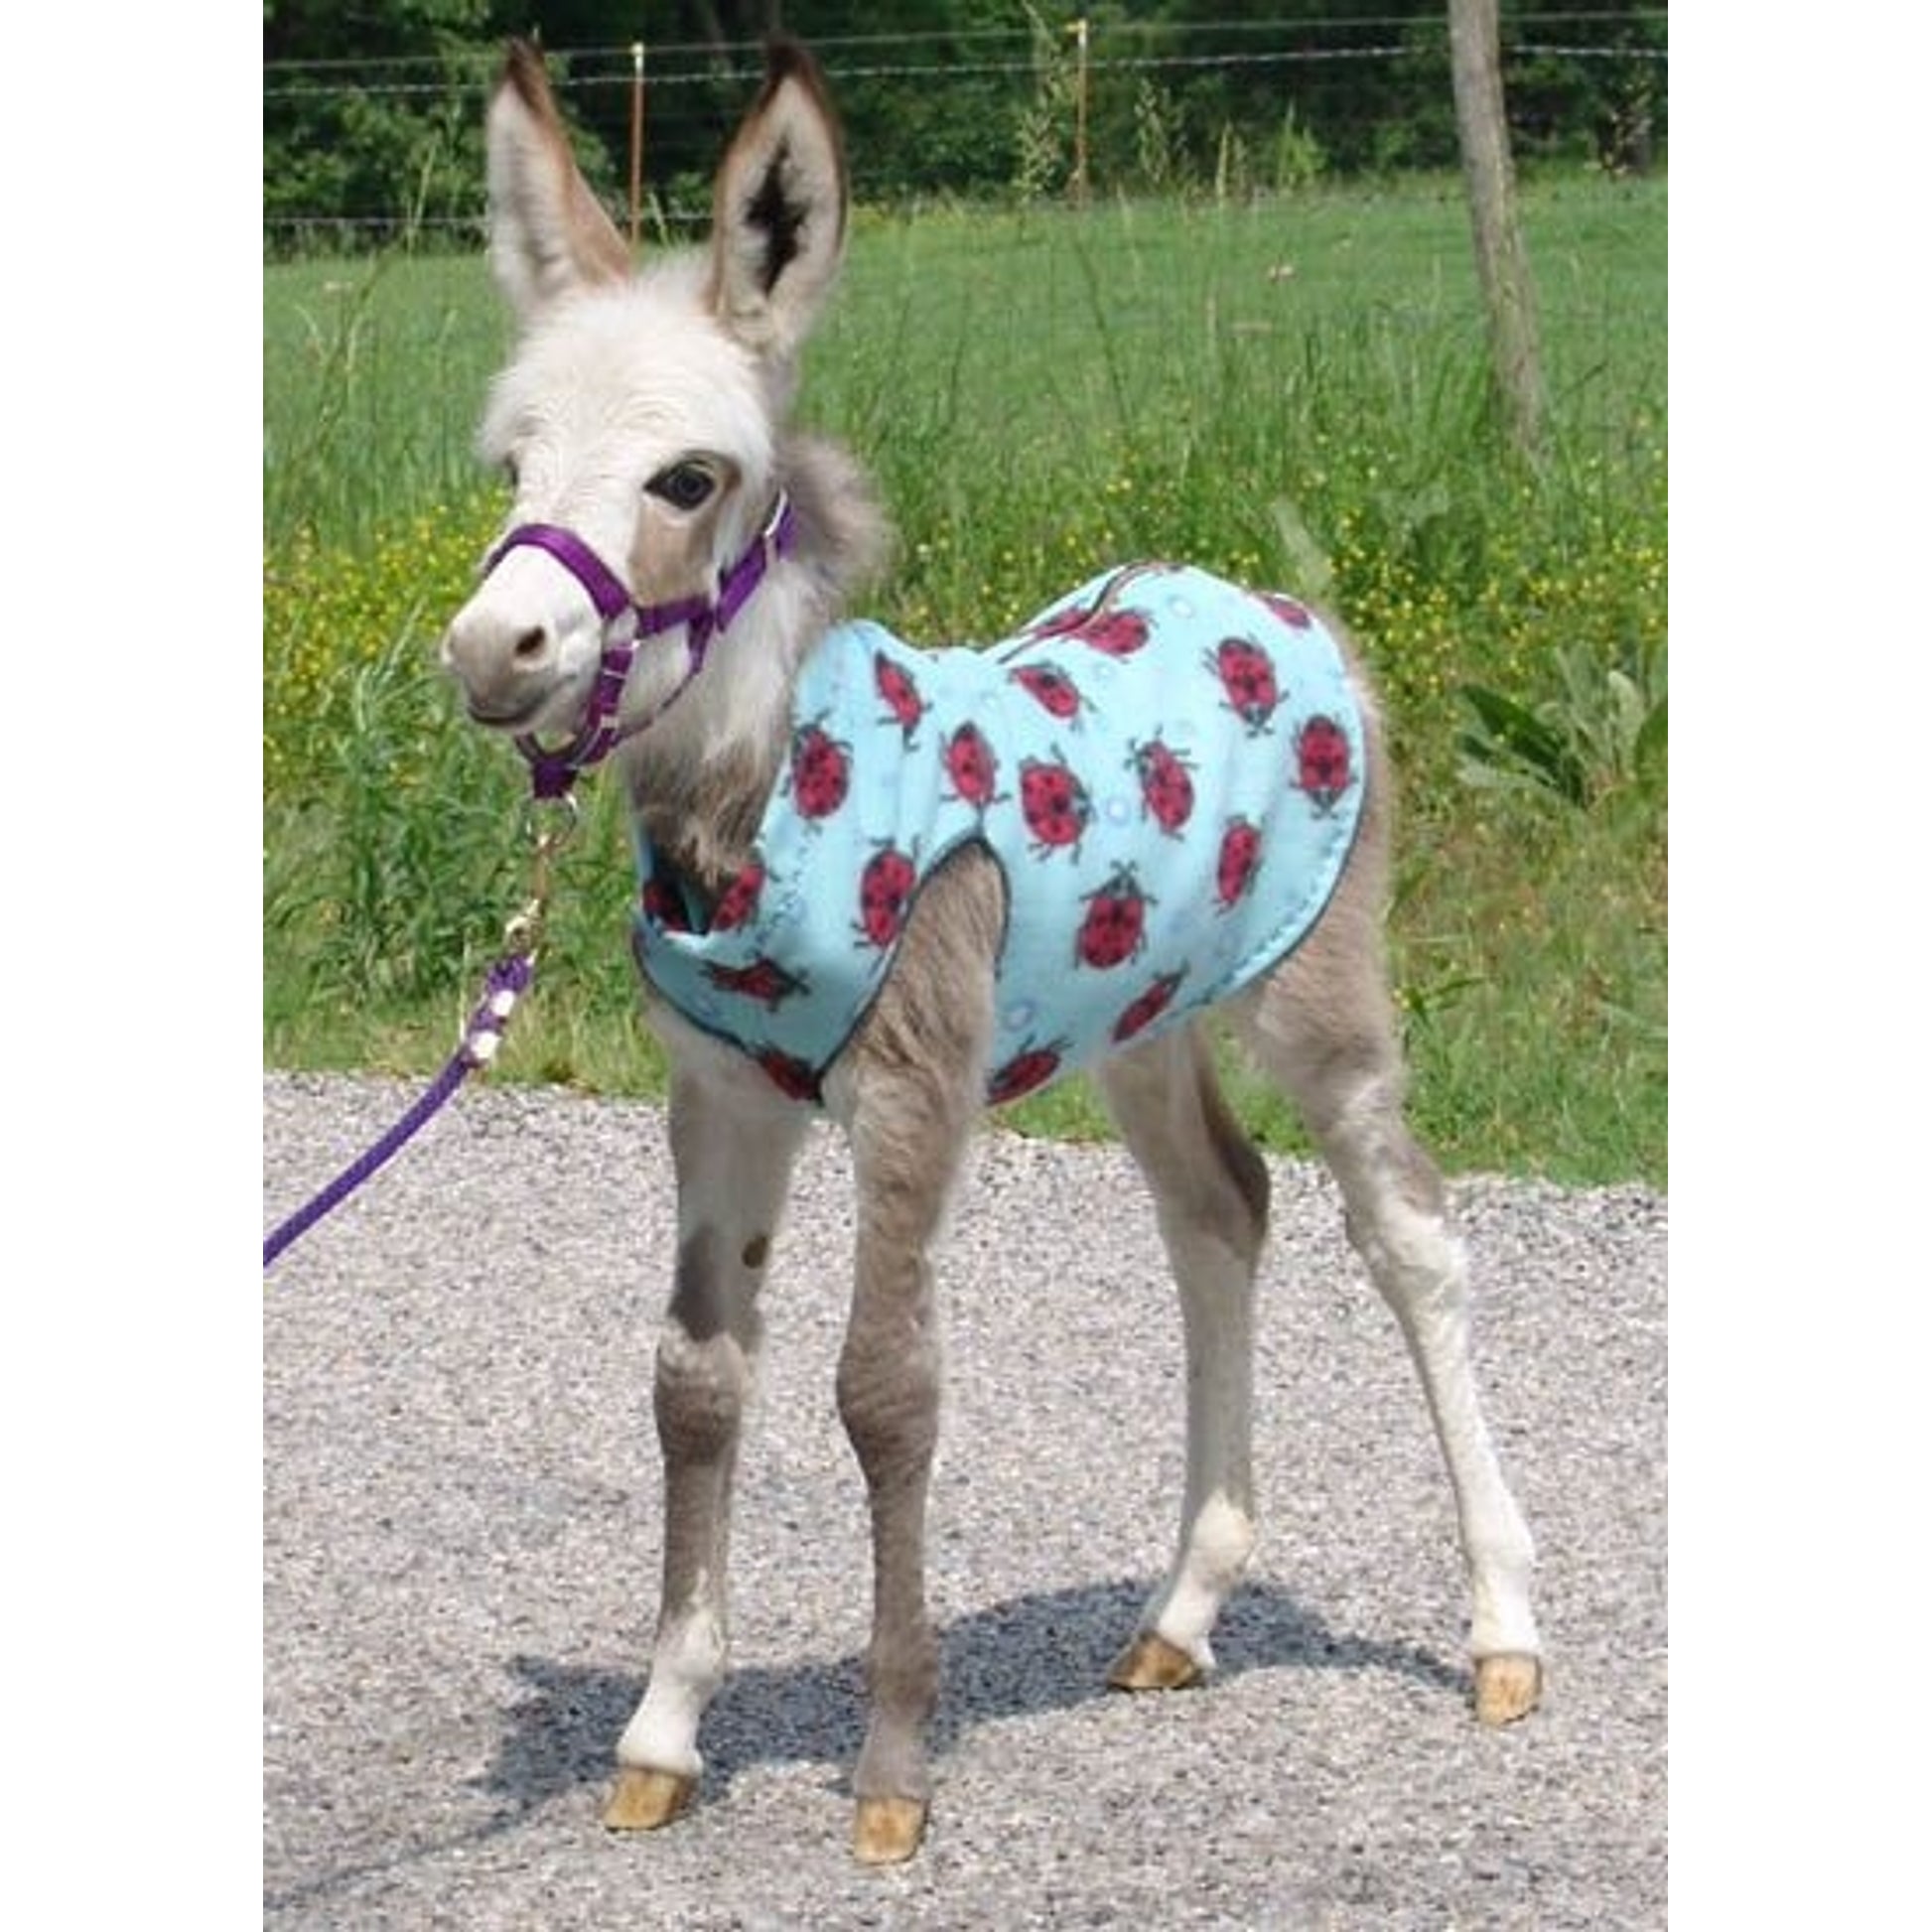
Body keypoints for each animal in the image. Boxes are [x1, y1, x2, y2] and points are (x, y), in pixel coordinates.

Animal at [439, 38, 1542, 1866]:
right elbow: (695, 1382)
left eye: (689, 479)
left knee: (1410, 1232)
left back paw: (1501, 1630)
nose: (494, 648)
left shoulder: (911, 1081)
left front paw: (891, 1770)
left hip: (1315, 981)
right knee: (1220, 1212)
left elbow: (885, 1387)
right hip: (1143, 1010)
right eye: (510, 468)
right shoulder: (723, 1095)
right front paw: (661, 1733)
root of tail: (1290, 610)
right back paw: (1180, 1613)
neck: (768, 802)